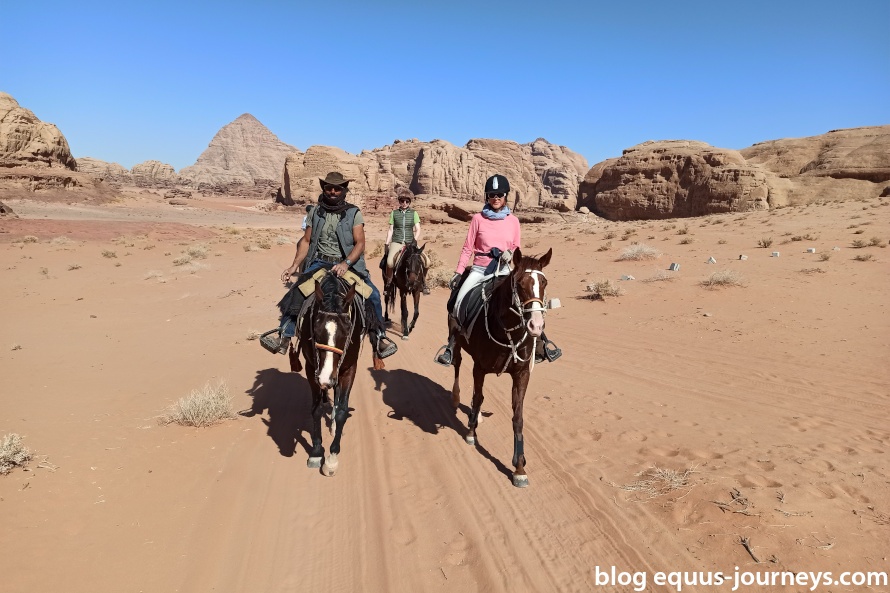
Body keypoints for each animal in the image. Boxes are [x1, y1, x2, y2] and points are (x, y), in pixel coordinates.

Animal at [290, 270, 370, 474]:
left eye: (347, 332)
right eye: (316, 331)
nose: (326, 379)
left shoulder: (349, 368)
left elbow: (342, 410)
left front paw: (332, 458)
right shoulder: (312, 369)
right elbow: (316, 409)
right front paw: (317, 452)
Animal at [444, 247, 548, 488]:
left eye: (544, 283)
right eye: (519, 284)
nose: (536, 325)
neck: (508, 330)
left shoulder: (522, 374)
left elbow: (518, 417)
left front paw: (519, 468)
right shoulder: (479, 367)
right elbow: (478, 396)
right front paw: (471, 433)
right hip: (458, 345)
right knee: (457, 365)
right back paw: (457, 398)